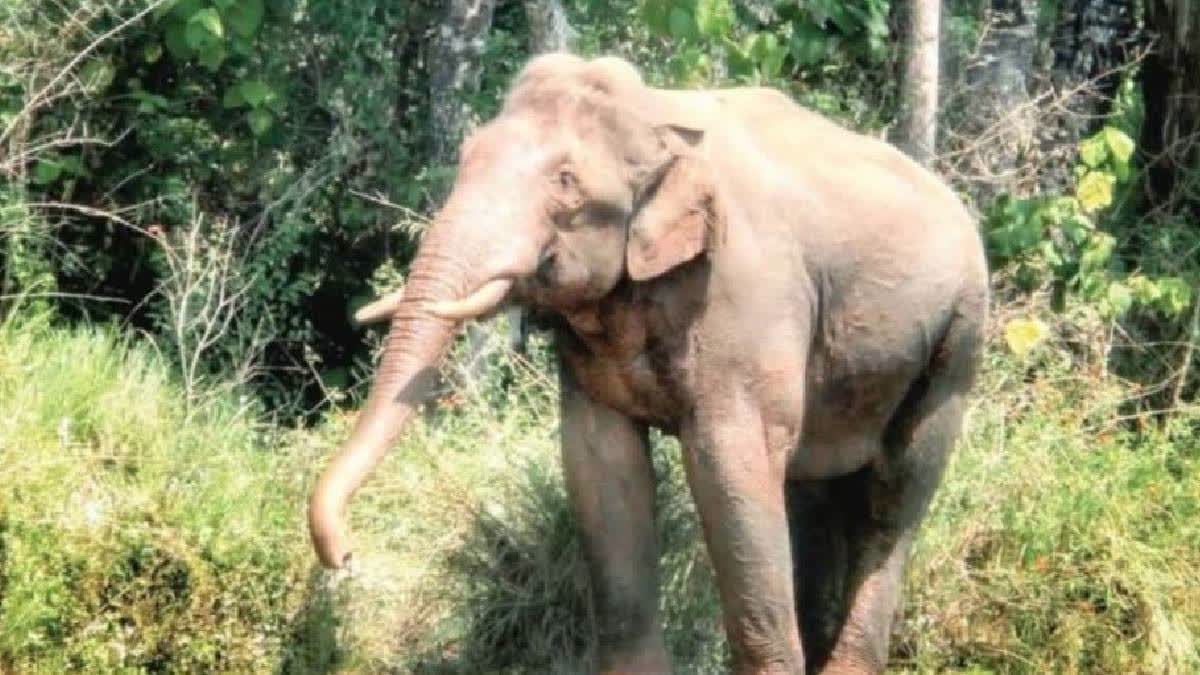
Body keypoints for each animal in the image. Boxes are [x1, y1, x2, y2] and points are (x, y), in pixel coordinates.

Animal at [308, 53, 989, 674]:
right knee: (814, 495)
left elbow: (731, 463)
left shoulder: (744, 295)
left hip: (958, 336)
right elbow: (601, 466)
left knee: (896, 492)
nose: (345, 557)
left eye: (566, 181)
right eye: (468, 154)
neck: (659, 115)